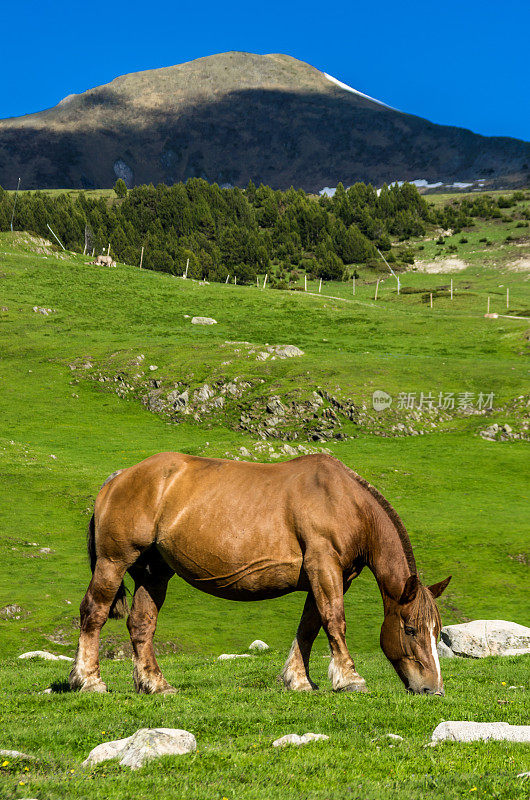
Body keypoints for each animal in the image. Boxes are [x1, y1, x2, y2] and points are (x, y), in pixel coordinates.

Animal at [68, 454, 450, 696]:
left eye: (437, 632)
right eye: (411, 629)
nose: (433, 688)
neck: (344, 502)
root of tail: (119, 477)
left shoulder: (331, 575)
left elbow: (310, 625)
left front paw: (298, 680)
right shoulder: (324, 565)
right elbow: (333, 619)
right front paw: (349, 678)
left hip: (154, 573)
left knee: (141, 625)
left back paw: (155, 684)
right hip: (113, 562)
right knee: (94, 613)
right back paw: (89, 681)